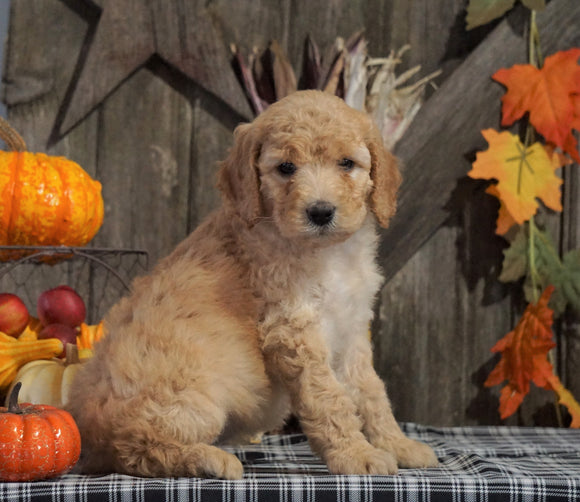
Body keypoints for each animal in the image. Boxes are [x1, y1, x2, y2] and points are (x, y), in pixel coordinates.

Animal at [68, 89, 438, 478]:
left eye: (346, 163)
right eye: (286, 168)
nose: (321, 212)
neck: (326, 253)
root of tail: (90, 432)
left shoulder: (350, 330)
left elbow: (370, 392)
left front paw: (398, 445)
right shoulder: (292, 330)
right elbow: (329, 399)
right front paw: (356, 455)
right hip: (192, 399)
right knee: (136, 446)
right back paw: (209, 460)